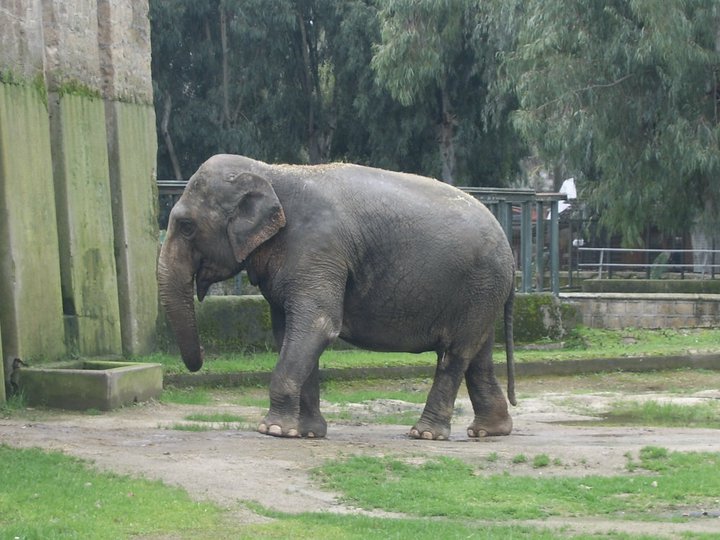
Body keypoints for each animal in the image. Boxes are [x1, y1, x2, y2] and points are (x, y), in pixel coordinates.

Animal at [158, 154, 517, 440]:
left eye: (187, 226)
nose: (203, 355)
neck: (271, 171)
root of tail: (509, 248)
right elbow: (288, 331)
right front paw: (306, 433)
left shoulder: (318, 248)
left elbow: (316, 324)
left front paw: (272, 430)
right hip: (482, 293)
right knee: (478, 355)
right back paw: (489, 431)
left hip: (479, 287)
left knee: (455, 354)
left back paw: (425, 434)